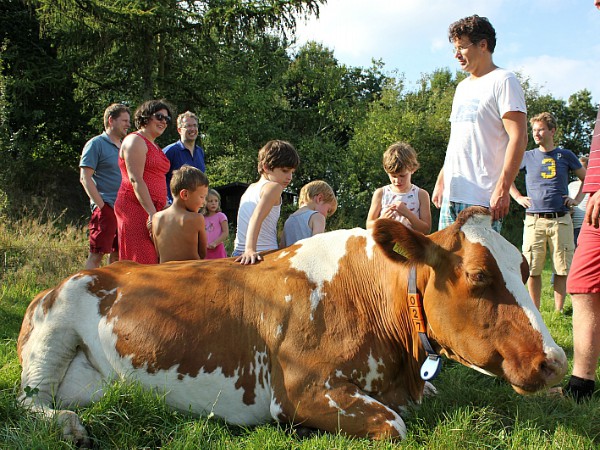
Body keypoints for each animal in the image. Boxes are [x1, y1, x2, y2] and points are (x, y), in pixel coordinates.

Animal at [16, 208, 564, 446]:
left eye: (524, 270)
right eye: (479, 275)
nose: (555, 361)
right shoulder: (301, 391)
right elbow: (396, 425)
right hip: (53, 332)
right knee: (29, 404)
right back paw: (70, 427)